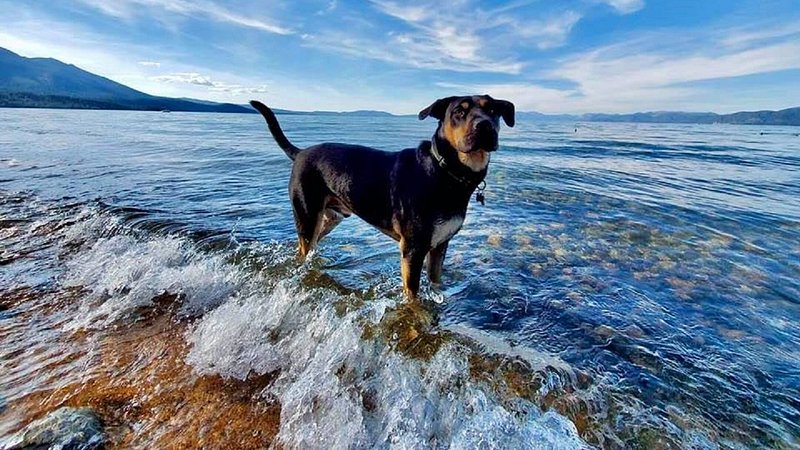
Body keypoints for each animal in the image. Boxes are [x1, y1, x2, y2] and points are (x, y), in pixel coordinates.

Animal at [248, 95, 512, 298]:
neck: (445, 170)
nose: (485, 126)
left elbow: (436, 282)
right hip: (307, 214)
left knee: (306, 245)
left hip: (330, 218)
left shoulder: (440, 244)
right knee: (304, 244)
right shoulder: (413, 249)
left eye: (492, 110)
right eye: (459, 112)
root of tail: (301, 153)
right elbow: (413, 295)